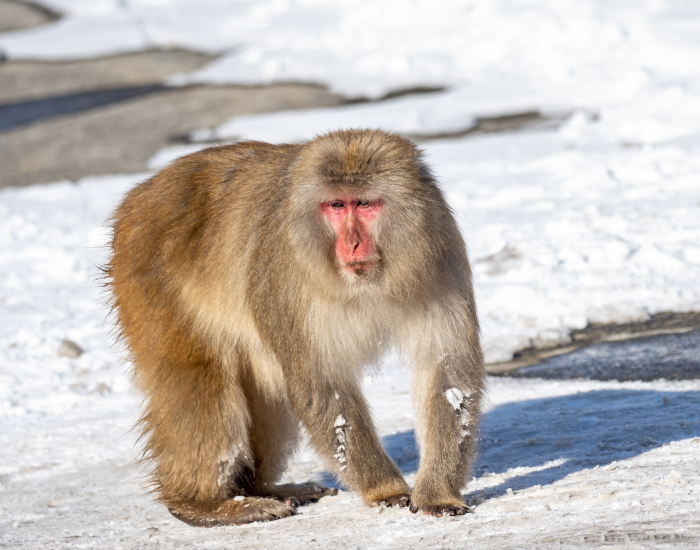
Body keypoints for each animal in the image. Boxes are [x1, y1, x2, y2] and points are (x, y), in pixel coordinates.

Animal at [107, 129, 485, 526]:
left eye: (365, 203)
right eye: (336, 206)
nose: (352, 243)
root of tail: (139, 195)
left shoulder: (440, 254)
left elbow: (447, 373)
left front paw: (436, 492)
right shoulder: (288, 276)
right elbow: (324, 385)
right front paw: (385, 489)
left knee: (263, 394)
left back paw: (261, 488)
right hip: (149, 280)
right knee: (197, 379)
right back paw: (203, 504)